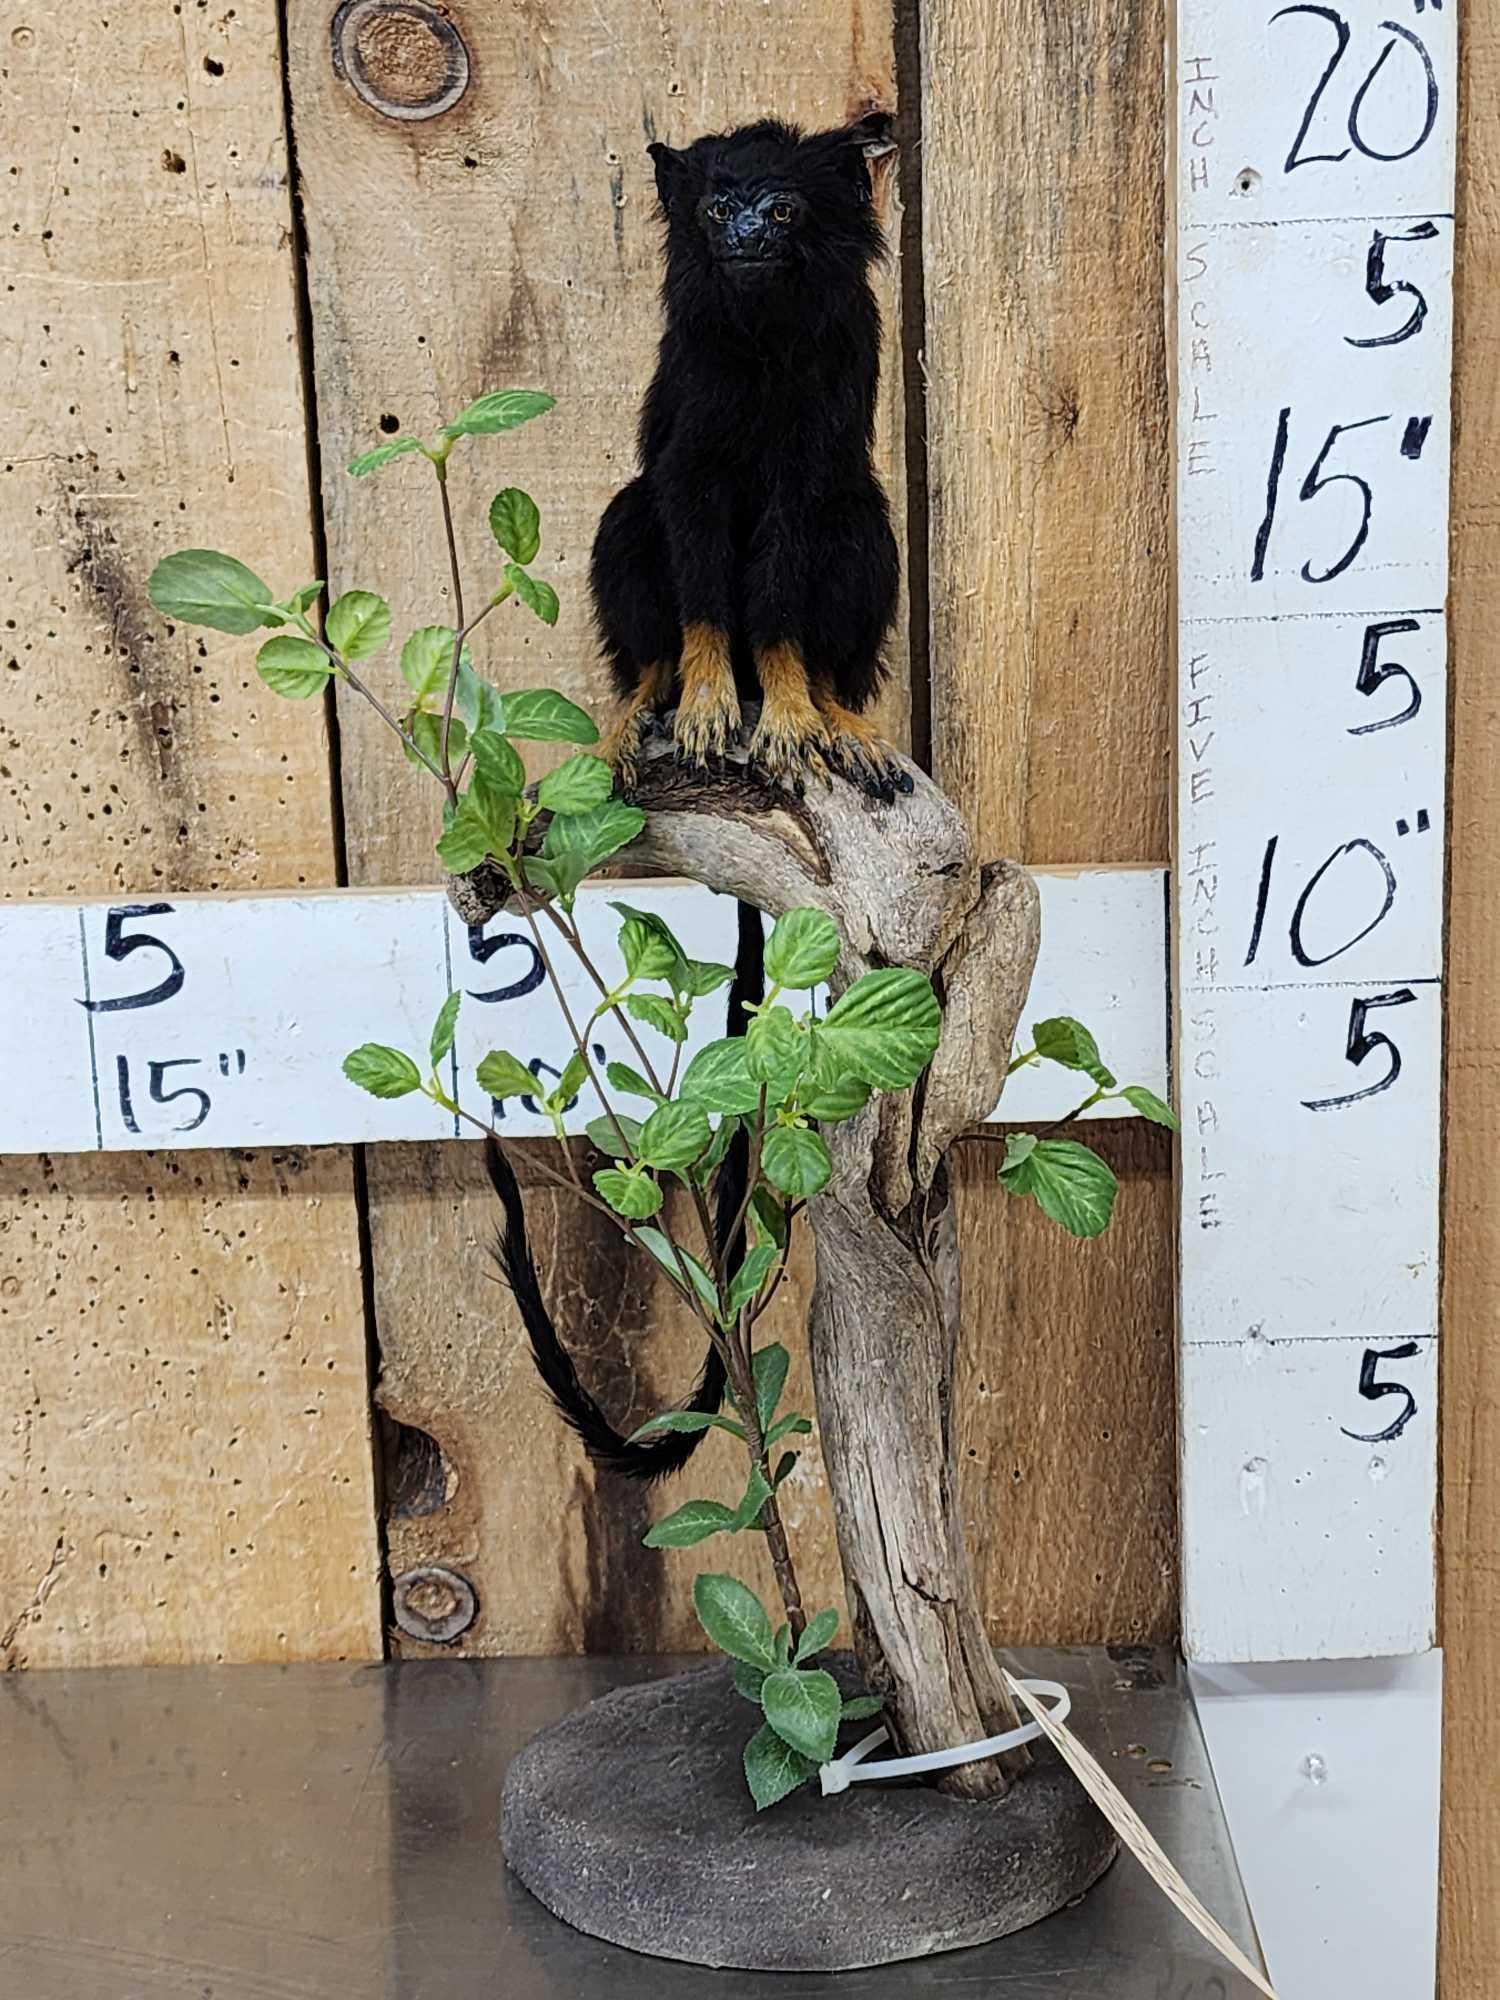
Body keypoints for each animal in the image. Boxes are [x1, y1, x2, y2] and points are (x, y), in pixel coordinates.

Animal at [590, 112, 913, 804]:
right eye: (717, 209)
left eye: (782, 211)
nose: (745, 234)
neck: (765, 330)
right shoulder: (696, 452)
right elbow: (699, 573)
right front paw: (706, 700)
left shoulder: (808, 457)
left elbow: (782, 585)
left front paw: (790, 712)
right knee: (630, 521)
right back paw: (631, 722)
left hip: (854, 527)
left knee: (858, 522)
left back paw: (838, 719)